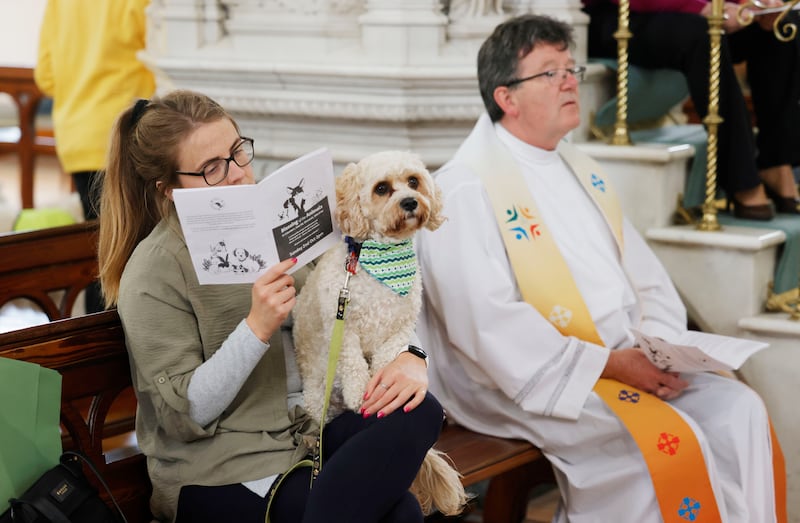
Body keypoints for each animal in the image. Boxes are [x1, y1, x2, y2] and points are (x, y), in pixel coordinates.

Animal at [294, 149, 468, 516]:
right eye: (382, 188)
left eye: (414, 181)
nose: (410, 202)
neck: (384, 263)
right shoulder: (342, 326)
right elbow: (354, 363)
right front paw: (361, 393)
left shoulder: (400, 328)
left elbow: (388, 358)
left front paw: (381, 386)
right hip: (316, 397)